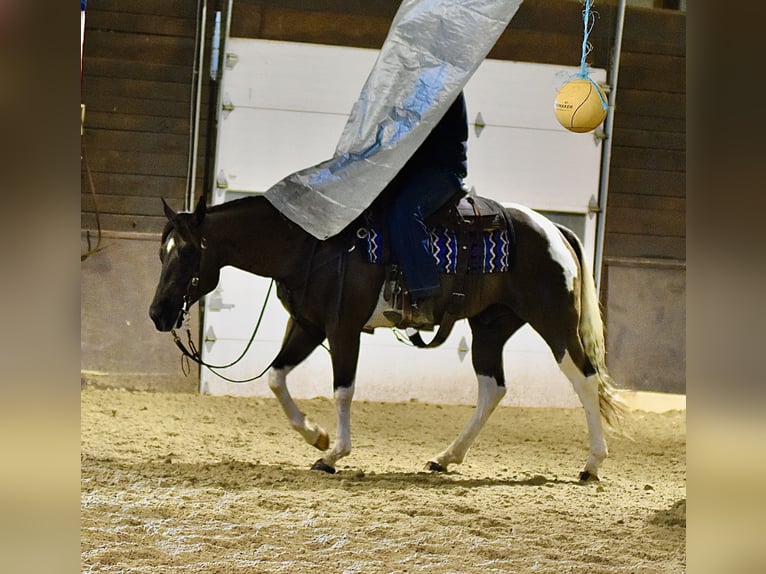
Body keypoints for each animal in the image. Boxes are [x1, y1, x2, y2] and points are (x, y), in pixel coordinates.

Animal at [149, 194, 624, 481]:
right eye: (161, 251)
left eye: (188, 251)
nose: (158, 313)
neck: (313, 246)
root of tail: (554, 231)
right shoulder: (307, 325)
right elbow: (276, 377)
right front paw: (316, 436)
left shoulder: (343, 328)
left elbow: (342, 390)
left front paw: (333, 454)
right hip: (490, 327)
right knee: (493, 387)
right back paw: (446, 457)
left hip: (555, 322)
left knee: (585, 379)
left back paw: (592, 464)